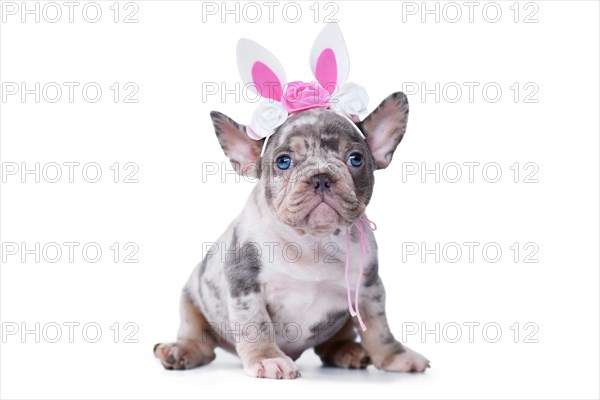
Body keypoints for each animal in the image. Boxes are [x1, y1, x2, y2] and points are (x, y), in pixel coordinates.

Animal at [152, 92, 428, 380]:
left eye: (355, 159)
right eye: (283, 161)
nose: (321, 177)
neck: (314, 240)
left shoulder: (368, 288)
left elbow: (378, 328)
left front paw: (395, 356)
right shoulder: (245, 286)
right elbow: (256, 325)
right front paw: (268, 359)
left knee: (331, 344)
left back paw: (348, 351)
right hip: (190, 301)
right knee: (201, 343)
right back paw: (179, 351)